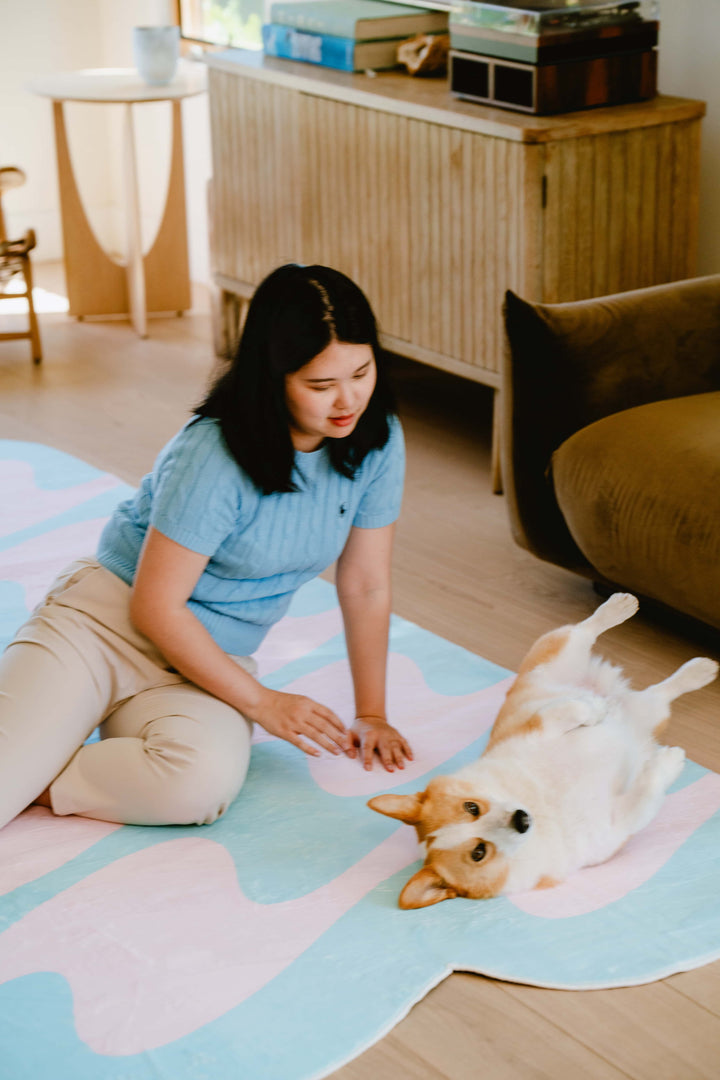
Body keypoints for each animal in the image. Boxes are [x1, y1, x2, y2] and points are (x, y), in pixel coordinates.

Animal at [369, 596, 716, 907]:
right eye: (479, 853)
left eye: (471, 807)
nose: (521, 819)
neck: (541, 804)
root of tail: (628, 698)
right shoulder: (616, 826)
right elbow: (646, 791)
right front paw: (667, 761)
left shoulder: (537, 725)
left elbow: (563, 711)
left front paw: (595, 708)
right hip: (650, 710)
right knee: (662, 691)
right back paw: (699, 671)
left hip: (553, 663)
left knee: (584, 631)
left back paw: (627, 612)